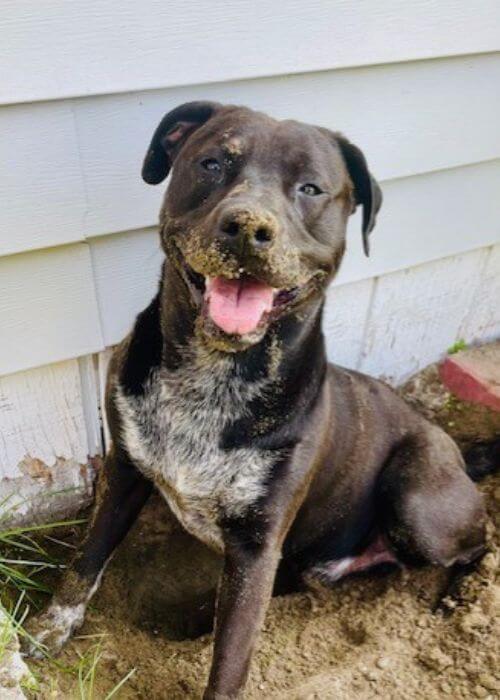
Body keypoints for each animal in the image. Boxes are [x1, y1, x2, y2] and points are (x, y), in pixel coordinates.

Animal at [27, 101, 488, 696]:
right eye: (212, 163)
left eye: (311, 188)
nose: (248, 227)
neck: (212, 379)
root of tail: (454, 448)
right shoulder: (123, 470)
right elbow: (86, 561)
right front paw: (47, 631)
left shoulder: (256, 549)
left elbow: (230, 661)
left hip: (417, 499)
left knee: (478, 542)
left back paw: (459, 598)